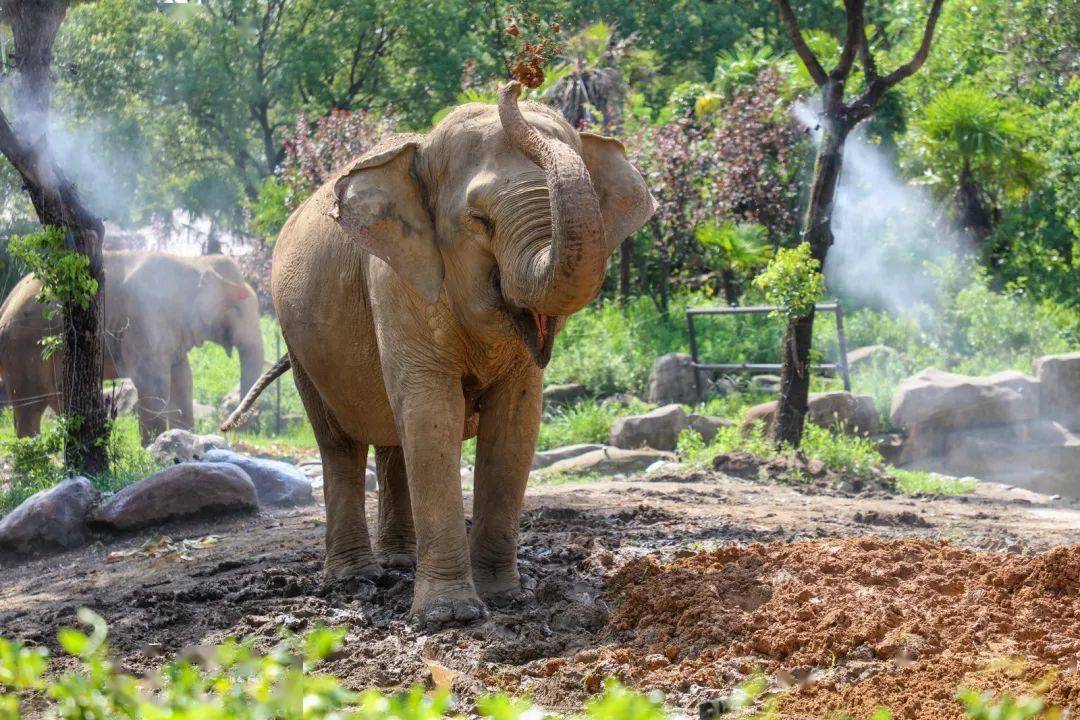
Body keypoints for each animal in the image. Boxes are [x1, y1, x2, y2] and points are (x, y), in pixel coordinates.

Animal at [1, 253, 266, 444]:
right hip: (23, 350)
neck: (193, 261)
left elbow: (182, 379)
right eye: (237, 309)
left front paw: (186, 439)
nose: (227, 429)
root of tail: (6, 304)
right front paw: (153, 449)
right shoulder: (146, 318)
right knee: (30, 409)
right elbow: (154, 382)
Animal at [223, 81, 652, 626]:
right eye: (479, 220)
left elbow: (516, 422)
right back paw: (356, 579)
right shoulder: (395, 279)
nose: (514, 83)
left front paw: (504, 598)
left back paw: (400, 562)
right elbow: (433, 413)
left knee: (391, 439)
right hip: (299, 344)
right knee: (340, 444)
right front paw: (452, 617)